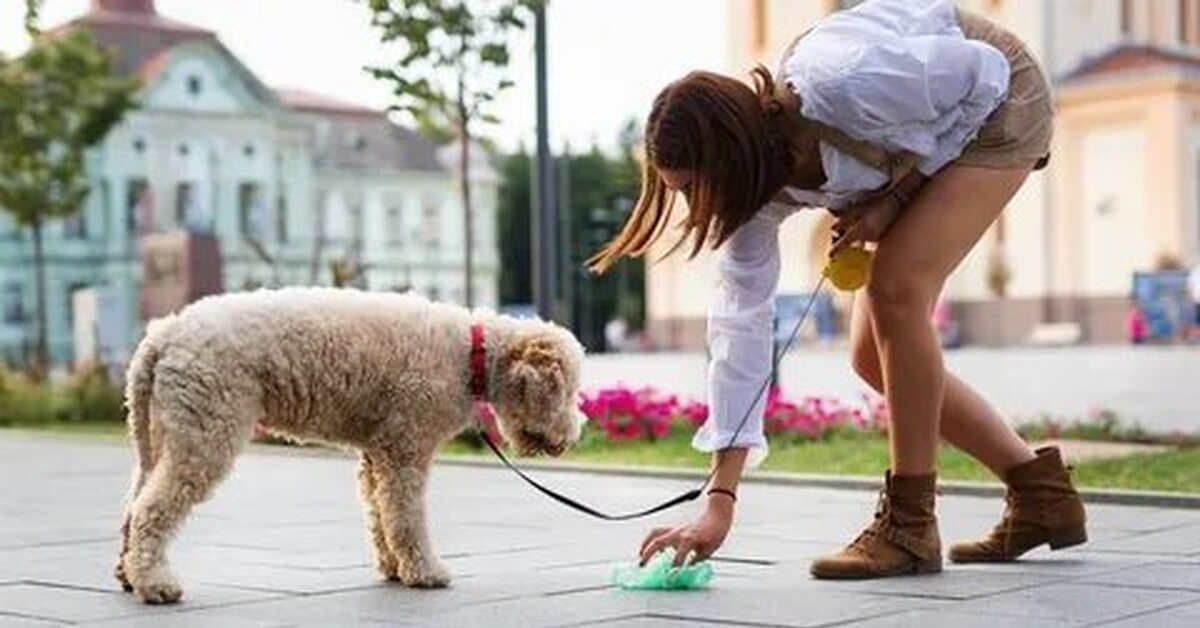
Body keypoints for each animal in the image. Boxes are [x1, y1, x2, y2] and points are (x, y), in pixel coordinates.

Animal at [113, 290, 585, 605]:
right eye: (566, 391)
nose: (574, 435)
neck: (470, 354)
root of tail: (163, 334)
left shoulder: (377, 453)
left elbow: (380, 516)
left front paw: (394, 568)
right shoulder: (406, 448)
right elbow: (405, 518)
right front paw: (425, 572)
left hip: (162, 432)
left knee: (133, 505)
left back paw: (128, 573)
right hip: (206, 431)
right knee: (153, 508)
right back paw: (156, 584)